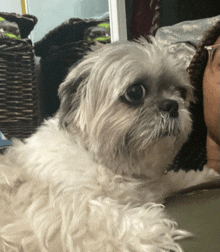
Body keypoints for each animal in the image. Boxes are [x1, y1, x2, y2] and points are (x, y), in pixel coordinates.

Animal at [0, 37, 218, 252]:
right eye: (135, 92)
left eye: (181, 92)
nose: (172, 105)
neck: (107, 164)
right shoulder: (67, 211)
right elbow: (108, 218)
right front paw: (154, 226)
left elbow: (172, 179)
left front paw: (207, 175)